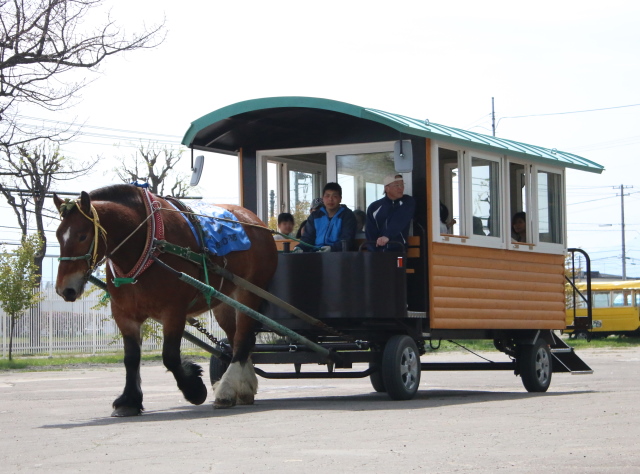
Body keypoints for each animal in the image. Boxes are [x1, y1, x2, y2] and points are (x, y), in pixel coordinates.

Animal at [53, 185, 278, 414]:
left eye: (82, 236)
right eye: (59, 235)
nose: (65, 289)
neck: (149, 244)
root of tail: (256, 221)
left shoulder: (174, 311)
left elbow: (170, 356)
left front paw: (194, 389)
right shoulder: (124, 314)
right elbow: (131, 358)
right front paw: (130, 400)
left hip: (249, 293)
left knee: (242, 341)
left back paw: (226, 389)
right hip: (224, 302)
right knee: (238, 340)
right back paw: (243, 388)